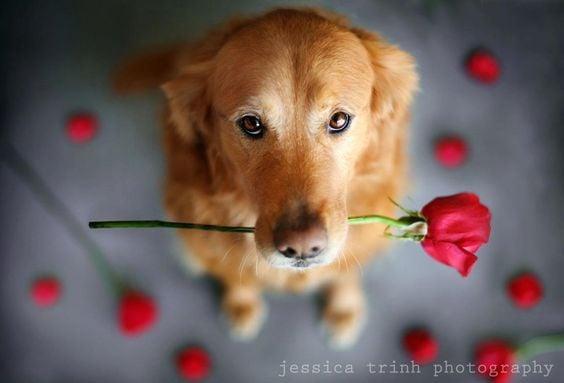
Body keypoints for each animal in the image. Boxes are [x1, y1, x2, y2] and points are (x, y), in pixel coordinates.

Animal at [113, 7, 418, 350]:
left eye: (339, 119)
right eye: (251, 123)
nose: (302, 247)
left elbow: (346, 273)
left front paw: (344, 309)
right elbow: (234, 275)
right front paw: (241, 305)